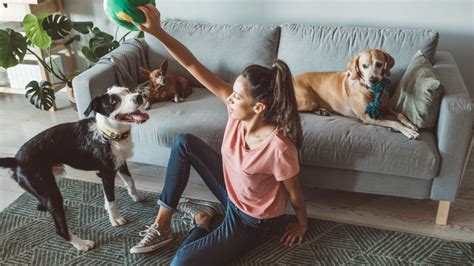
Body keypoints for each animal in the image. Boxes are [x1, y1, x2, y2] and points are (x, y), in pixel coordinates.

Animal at [0, 86, 149, 250]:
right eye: (114, 101)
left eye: (127, 90)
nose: (139, 96)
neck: (108, 133)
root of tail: (16, 160)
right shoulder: (107, 173)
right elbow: (111, 199)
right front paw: (115, 219)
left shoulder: (121, 163)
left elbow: (130, 181)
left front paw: (136, 197)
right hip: (50, 191)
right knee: (60, 230)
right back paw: (82, 244)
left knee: (43, 205)